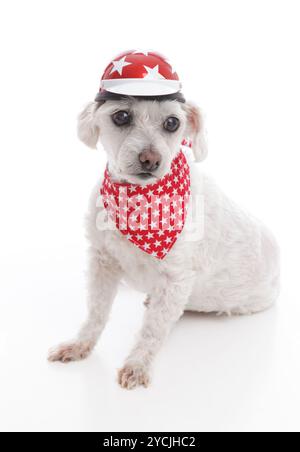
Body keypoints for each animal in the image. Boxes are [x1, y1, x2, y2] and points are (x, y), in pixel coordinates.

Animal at [48, 95, 280, 388]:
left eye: (172, 122)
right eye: (121, 116)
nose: (150, 159)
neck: (137, 200)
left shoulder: (175, 279)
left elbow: (153, 328)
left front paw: (137, 364)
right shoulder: (102, 261)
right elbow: (96, 311)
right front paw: (81, 344)